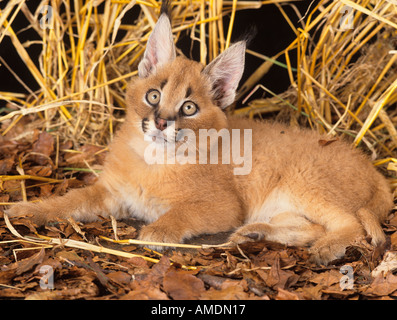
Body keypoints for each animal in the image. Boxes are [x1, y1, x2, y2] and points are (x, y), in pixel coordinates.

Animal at [5, 10, 390, 264]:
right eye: (154, 96)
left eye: (189, 108)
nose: (161, 122)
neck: (154, 159)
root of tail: (375, 170)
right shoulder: (111, 192)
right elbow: (70, 201)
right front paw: (27, 209)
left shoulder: (224, 205)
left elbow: (183, 212)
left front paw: (157, 231)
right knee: (310, 227)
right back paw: (255, 233)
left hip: (306, 180)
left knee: (354, 225)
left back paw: (327, 248)